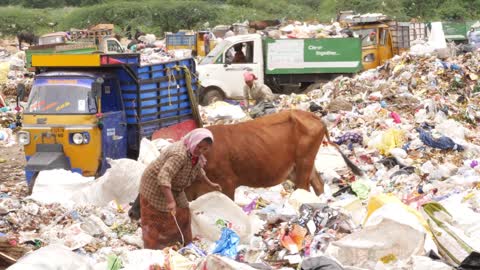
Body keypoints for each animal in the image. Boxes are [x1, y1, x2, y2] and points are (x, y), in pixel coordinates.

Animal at [127, 109, 360, 219]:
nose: (131, 213)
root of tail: (313, 116)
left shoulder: (228, 184)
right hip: (302, 167)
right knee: (318, 185)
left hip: (303, 165)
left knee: (305, 190)